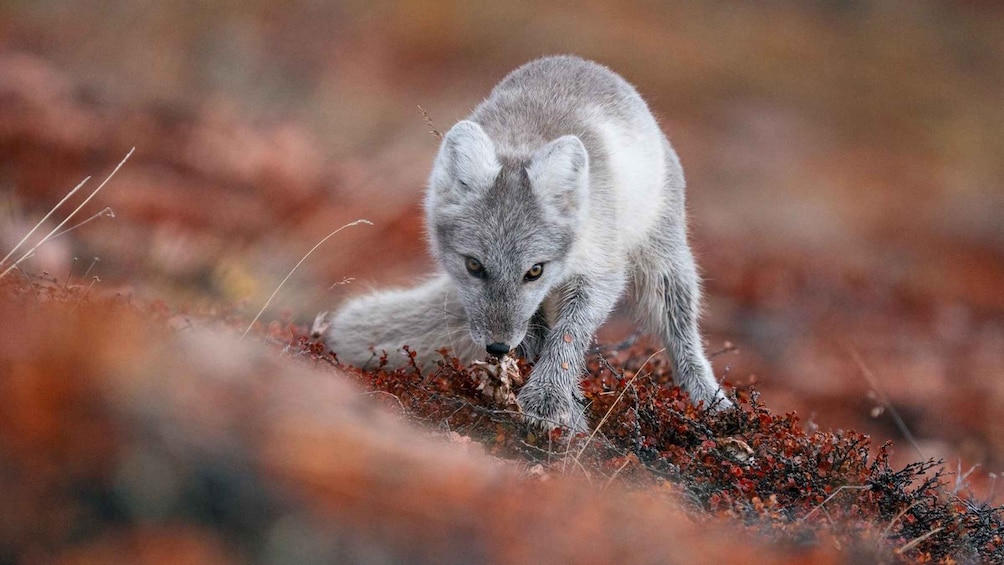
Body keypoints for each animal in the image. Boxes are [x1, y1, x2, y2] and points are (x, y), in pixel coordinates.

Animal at [319, 55, 731, 431]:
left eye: (535, 271)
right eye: (474, 266)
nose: (498, 348)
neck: (522, 141)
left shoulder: (600, 269)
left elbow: (568, 338)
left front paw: (549, 400)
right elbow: (537, 331)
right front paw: (555, 394)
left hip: (664, 261)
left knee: (681, 332)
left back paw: (709, 399)